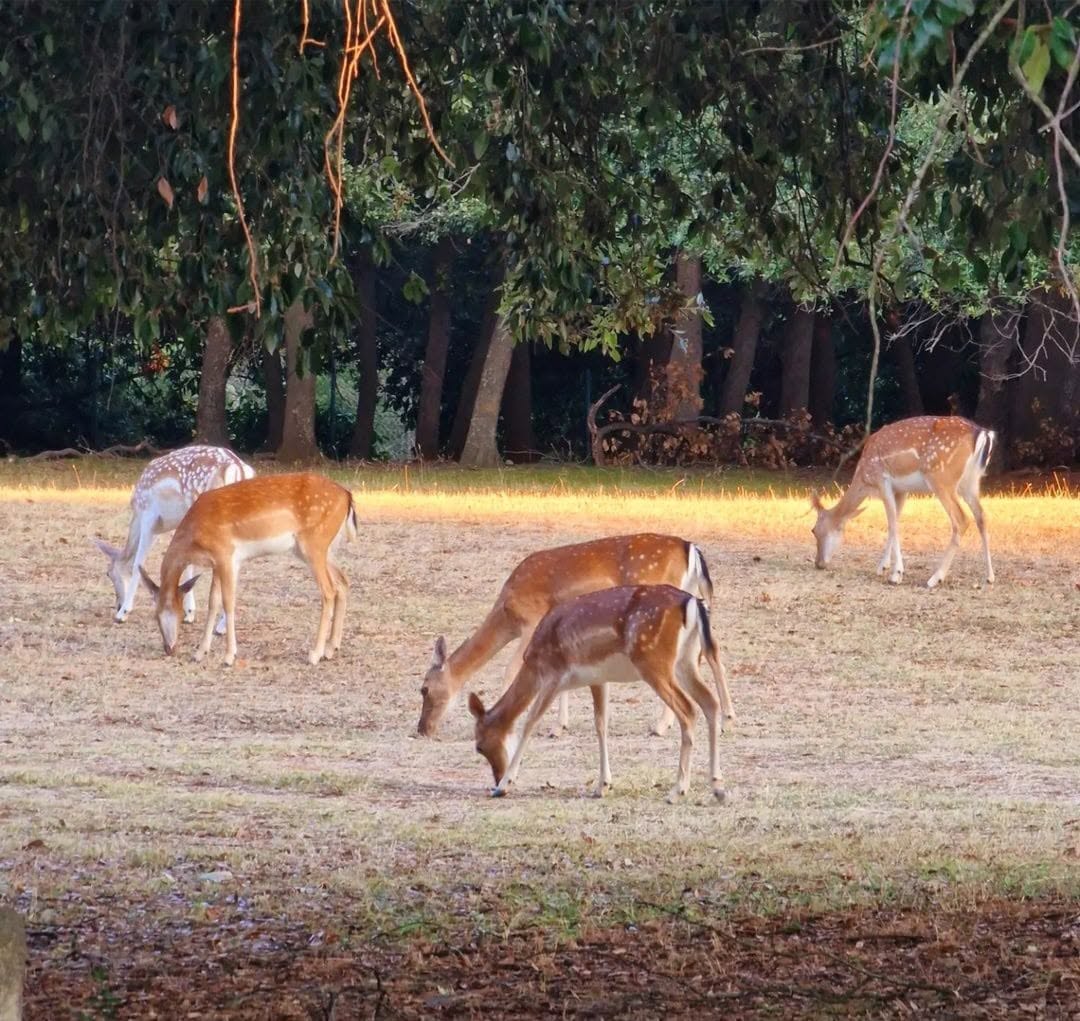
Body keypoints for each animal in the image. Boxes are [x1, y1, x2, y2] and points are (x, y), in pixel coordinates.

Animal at [94, 445, 255, 629]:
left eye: (108, 574)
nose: (117, 605)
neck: (137, 514)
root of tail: (236, 467)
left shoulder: (149, 517)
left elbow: (137, 563)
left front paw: (123, 614)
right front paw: (188, 613)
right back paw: (221, 626)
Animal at [138, 472, 357, 666]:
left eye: (168, 612)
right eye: (155, 615)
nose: (169, 648)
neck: (194, 537)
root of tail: (346, 495)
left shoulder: (226, 554)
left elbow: (228, 602)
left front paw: (229, 656)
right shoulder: (218, 563)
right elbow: (213, 602)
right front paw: (200, 653)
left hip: (314, 542)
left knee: (328, 590)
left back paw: (315, 654)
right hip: (322, 548)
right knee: (343, 581)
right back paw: (331, 649)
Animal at [418, 533, 715, 739]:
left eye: (425, 690)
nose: (422, 729)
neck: (507, 614)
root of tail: (692, 549)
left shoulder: (532, 620)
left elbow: (510, 670)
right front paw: (558, 727)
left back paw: (660, 727)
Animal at [468, 584, 736, 803]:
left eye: (479, 746)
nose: (495, 779)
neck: (534, 665)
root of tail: (692, 602)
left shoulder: (553, 675)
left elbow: (530, 722)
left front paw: (505, 785)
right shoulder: (598, 679)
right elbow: (600, 724)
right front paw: (602, 786)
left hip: (654, 661)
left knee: (688, 710)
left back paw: (677, 791)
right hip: (686, 661)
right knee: (709, 703)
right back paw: (718, 788)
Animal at [811, 416, 995, 588]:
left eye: (814, 531)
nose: (818, 563)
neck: (864, 479)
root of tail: (982, 433)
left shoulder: (882, 480)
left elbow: (892, 523)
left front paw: (896, 574)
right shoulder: (901, 490)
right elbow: (895, 522)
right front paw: (882, 567)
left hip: (941, 477)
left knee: (962, 519)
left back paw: (935, 578)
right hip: (971, 482)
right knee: (982, 515)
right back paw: (989, 576)